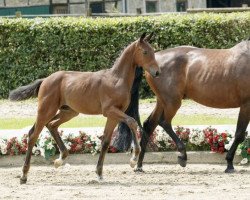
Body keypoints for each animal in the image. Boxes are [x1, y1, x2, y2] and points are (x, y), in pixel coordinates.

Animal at [9, 33, 160, 184]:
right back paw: (24, 175)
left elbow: (106, 141)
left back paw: (60, 159)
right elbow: (132, 122)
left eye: (153, 51)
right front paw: (133, 159)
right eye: (145, 52)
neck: (117, 79)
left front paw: (99, 173)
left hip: (69, 112)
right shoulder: (110, 110)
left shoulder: (114, 115)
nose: (157, 72)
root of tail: (45, 80)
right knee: (33, 134)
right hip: (46, 109)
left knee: (51, 125)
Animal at [122, 40, 248, 173]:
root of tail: (153, 62)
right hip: (173, 101)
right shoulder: (246, 104)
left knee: (149, 124)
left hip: (162, 101)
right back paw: (183, 156)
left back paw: (139, 165)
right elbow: (240, 134)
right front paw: (229, 164)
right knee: (164, 122)